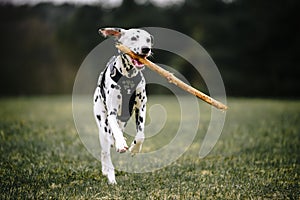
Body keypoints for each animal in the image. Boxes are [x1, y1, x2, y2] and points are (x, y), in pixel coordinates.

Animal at [93, 27, 154, 184]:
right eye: (133, 38)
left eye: (148, 40)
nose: (146, 49)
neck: (128, 78)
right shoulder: (112, 113)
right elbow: (114, 130)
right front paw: (121, 144)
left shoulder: (141, 108)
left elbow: (141, 135)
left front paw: (134, 148)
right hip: (103, 124)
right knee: (106, 150)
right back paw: (110, 176)